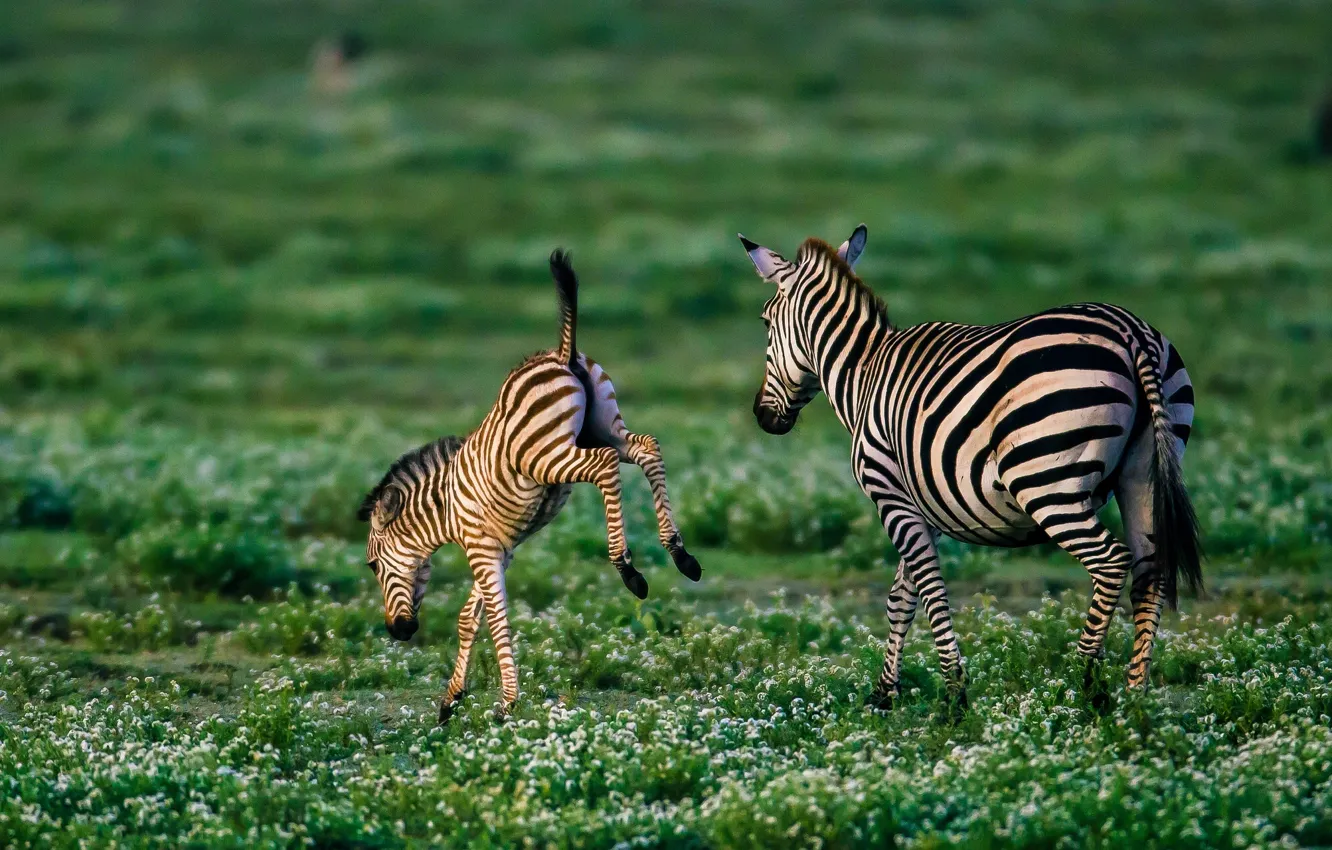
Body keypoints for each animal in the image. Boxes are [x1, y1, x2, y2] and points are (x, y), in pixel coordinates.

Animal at [357, 249, 702, 723]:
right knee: (647, 449)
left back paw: (628, 569)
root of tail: (561, 353)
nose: (399, 631)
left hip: (547, 456)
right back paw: (681, 554)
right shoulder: (500, 549)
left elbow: (497, 619)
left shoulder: (481, 549)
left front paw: (506, 704)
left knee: (605, 466)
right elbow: (470, 618)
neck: (445, 510)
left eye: (373, 566)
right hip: (605, 426)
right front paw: (451, 700)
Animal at [737, 225, 1201, 709]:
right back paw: (1135, 696)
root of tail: (1132, 332)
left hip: (1045, 479)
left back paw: (1082, 684)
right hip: (1143, 473)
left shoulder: (890, 494)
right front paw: (885, 694)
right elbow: (901, 597)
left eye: (766, 323)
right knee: (1150, 573)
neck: (863, 374)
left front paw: (953, 694)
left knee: (1110, 561)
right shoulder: (926, 503)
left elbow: (928, 588)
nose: (762, 416)